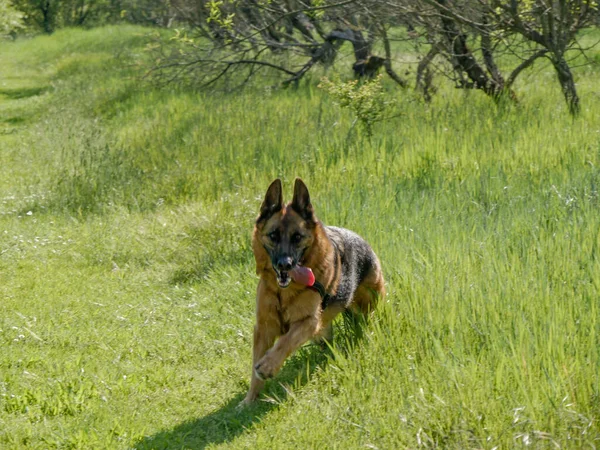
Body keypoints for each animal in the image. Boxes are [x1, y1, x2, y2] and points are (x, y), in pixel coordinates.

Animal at [243, 177, 386, 404]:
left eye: (297, 237)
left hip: (369, 302)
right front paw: (249, 401)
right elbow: (255, 370)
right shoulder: (264, 328)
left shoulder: (308, 321)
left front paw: (268, 366)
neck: (283, 293)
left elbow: (285, 342)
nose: (285, 264)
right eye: (273, 235)